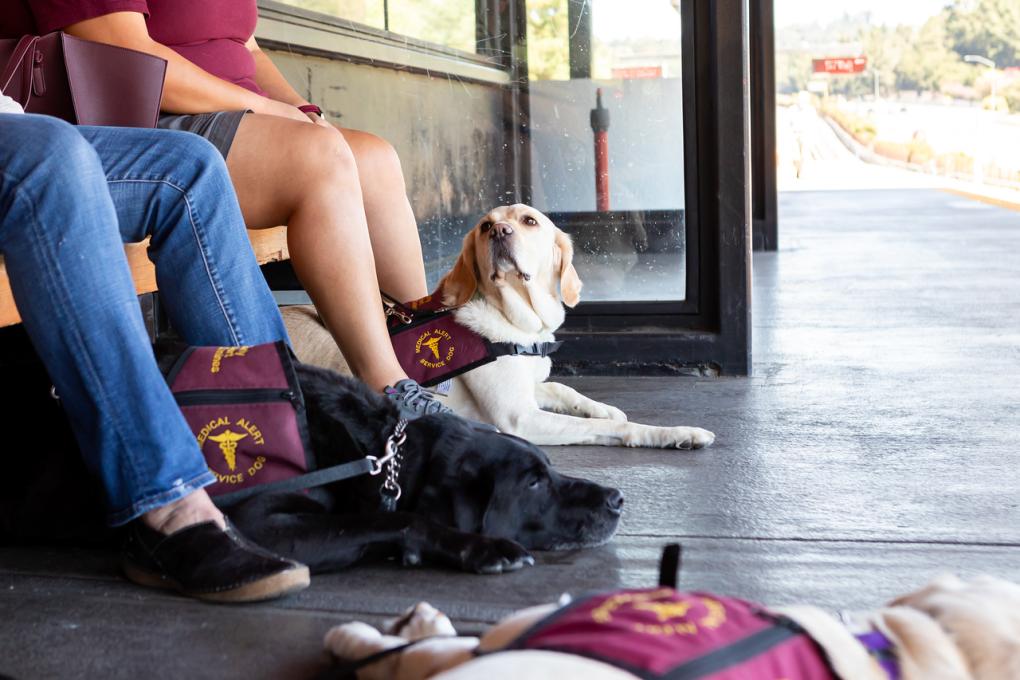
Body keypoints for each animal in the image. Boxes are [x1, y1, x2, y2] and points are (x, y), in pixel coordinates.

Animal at [283, 207, 718, 452]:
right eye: (484, 226)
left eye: (529, 221)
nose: (500, 233)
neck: (517, 321)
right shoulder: (519, 418)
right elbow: (614, 427)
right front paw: (675, 433)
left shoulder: (529, 387)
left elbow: (565, 388)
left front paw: (601, 407)